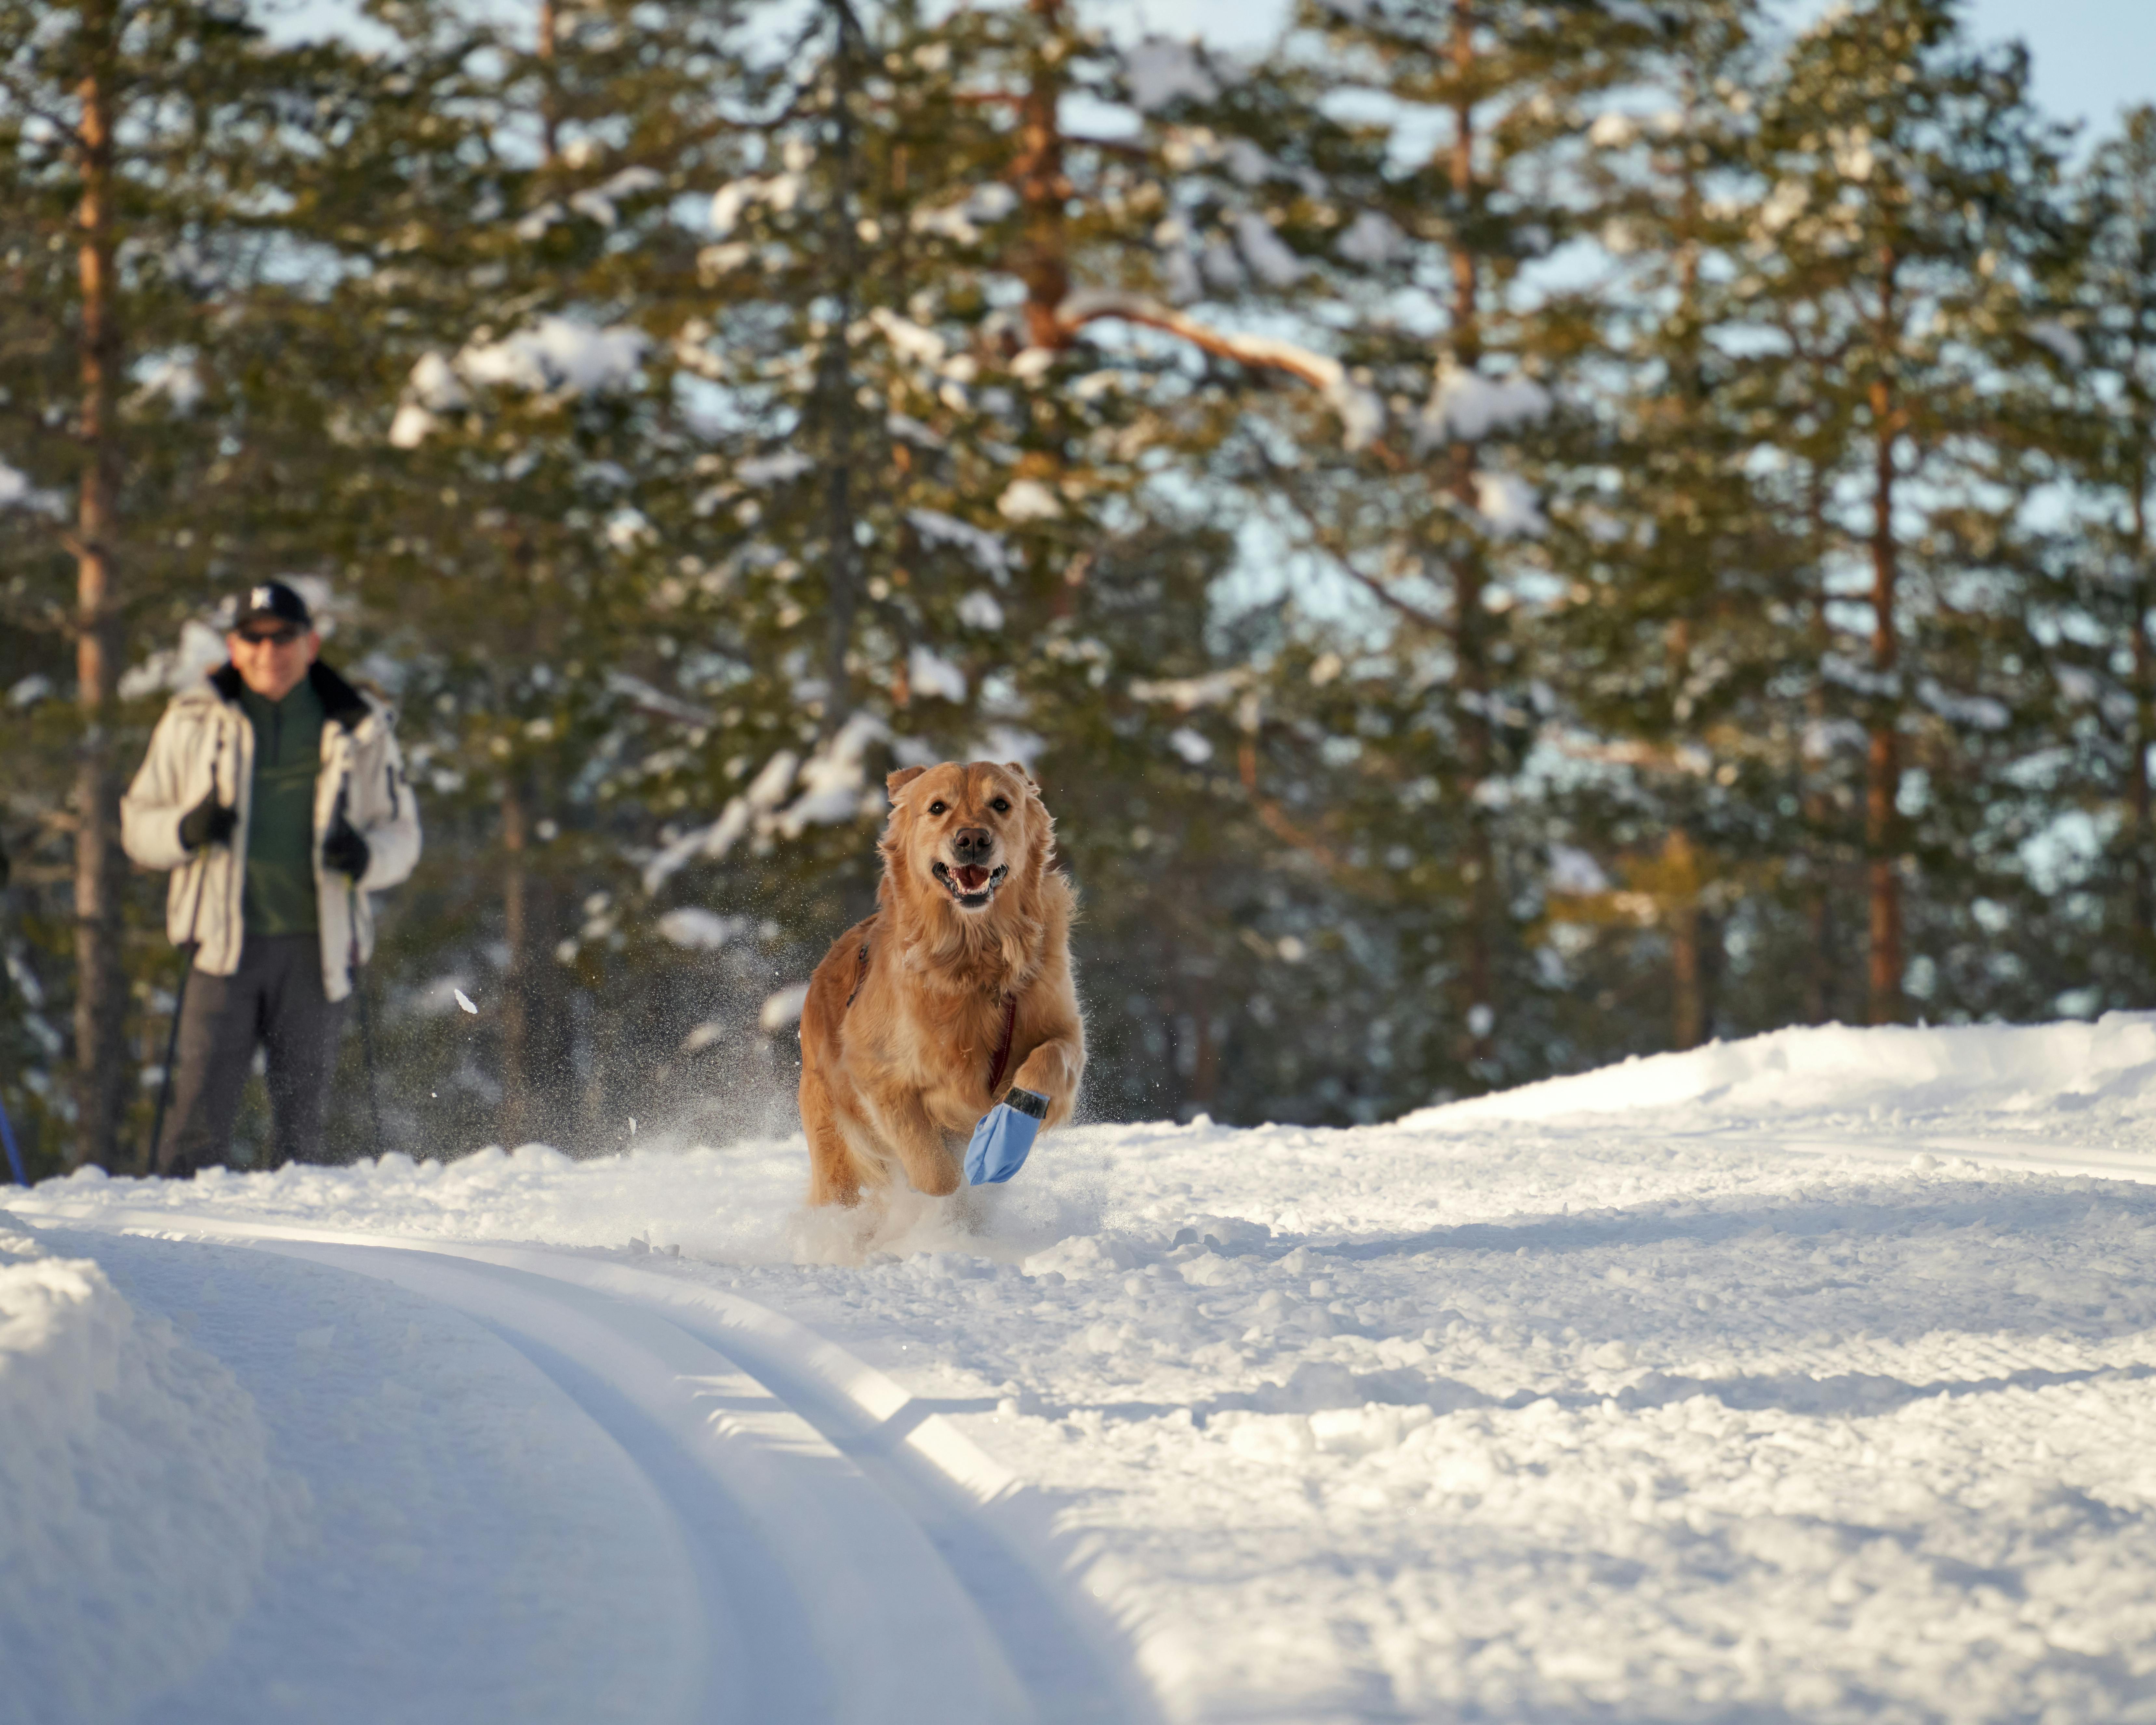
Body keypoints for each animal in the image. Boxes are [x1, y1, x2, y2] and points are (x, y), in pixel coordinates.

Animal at [802, 763, 1086, 1207]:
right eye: (938, 808)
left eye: (1001, 804)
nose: (973, 839)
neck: (975, 957)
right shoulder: (874, 1072)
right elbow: (936, 1171)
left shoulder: (1065, 1030)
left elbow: (1049, 1060)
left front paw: (1001, 1142)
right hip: (834, 1156)